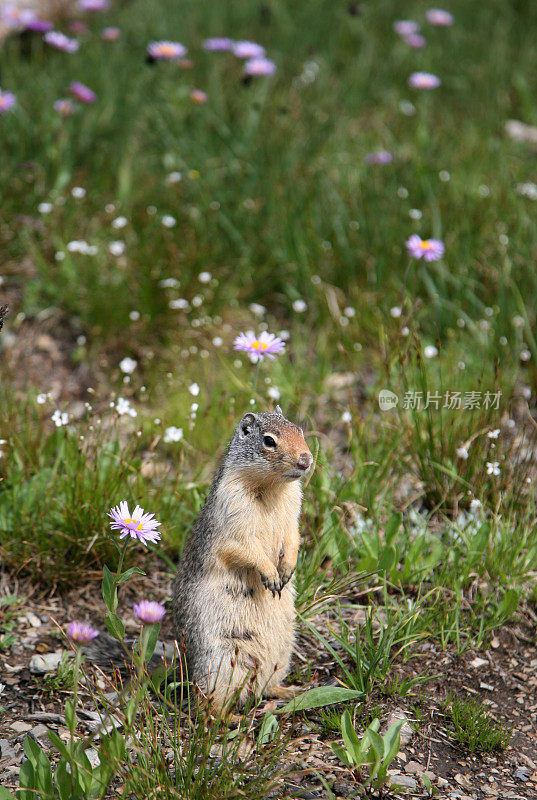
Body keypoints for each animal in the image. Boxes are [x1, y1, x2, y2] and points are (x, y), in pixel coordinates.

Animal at [172, 406, 314, 708]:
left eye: (299, 430)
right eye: (269, 441)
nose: (306, 460)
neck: (272, 487)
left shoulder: (292, 516)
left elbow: (293, 539)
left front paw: (287, 569)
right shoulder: (232, 519)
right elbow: (244, 549)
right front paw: (271, 576)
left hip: (282, 652)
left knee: (265, 687)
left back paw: (288, 691)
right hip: (222, 660)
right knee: (208, 706)